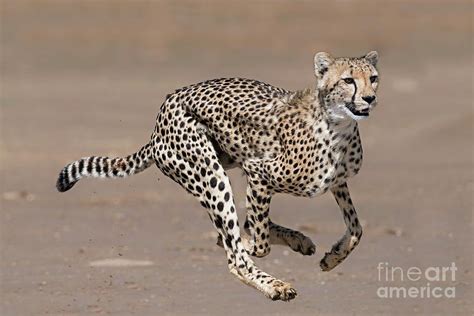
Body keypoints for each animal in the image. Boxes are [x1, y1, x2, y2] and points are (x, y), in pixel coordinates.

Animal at [56, 51, 382, 302]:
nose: (369, 98)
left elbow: (356, 228)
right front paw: (246, 244)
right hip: (211, 174)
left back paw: (297, 240)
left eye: (373, 78)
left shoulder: (338, 182)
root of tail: (159, 120)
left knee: (245, 226)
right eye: (348, 80)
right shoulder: (257, 171)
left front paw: (333, 257)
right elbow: (258, 243)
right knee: (236, 254)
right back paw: (273, 283)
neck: (337, 126)